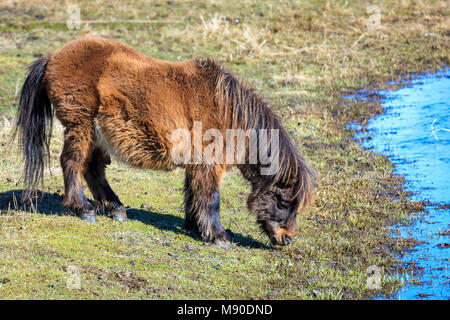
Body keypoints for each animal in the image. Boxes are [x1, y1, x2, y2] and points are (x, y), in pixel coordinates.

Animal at [14, 37, 316, 248]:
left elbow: (193, 195)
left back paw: (116, 209)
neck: (229, 112)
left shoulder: (197, 165)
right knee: (72, 163)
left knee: (93, 170)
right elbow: (211, 199)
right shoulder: (209, 164)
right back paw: (83, 209)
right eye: (283, 201)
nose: (287, 239)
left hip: (96, 134)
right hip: (81, 127)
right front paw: (219, 236)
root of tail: (53, 57)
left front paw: (195, 228)